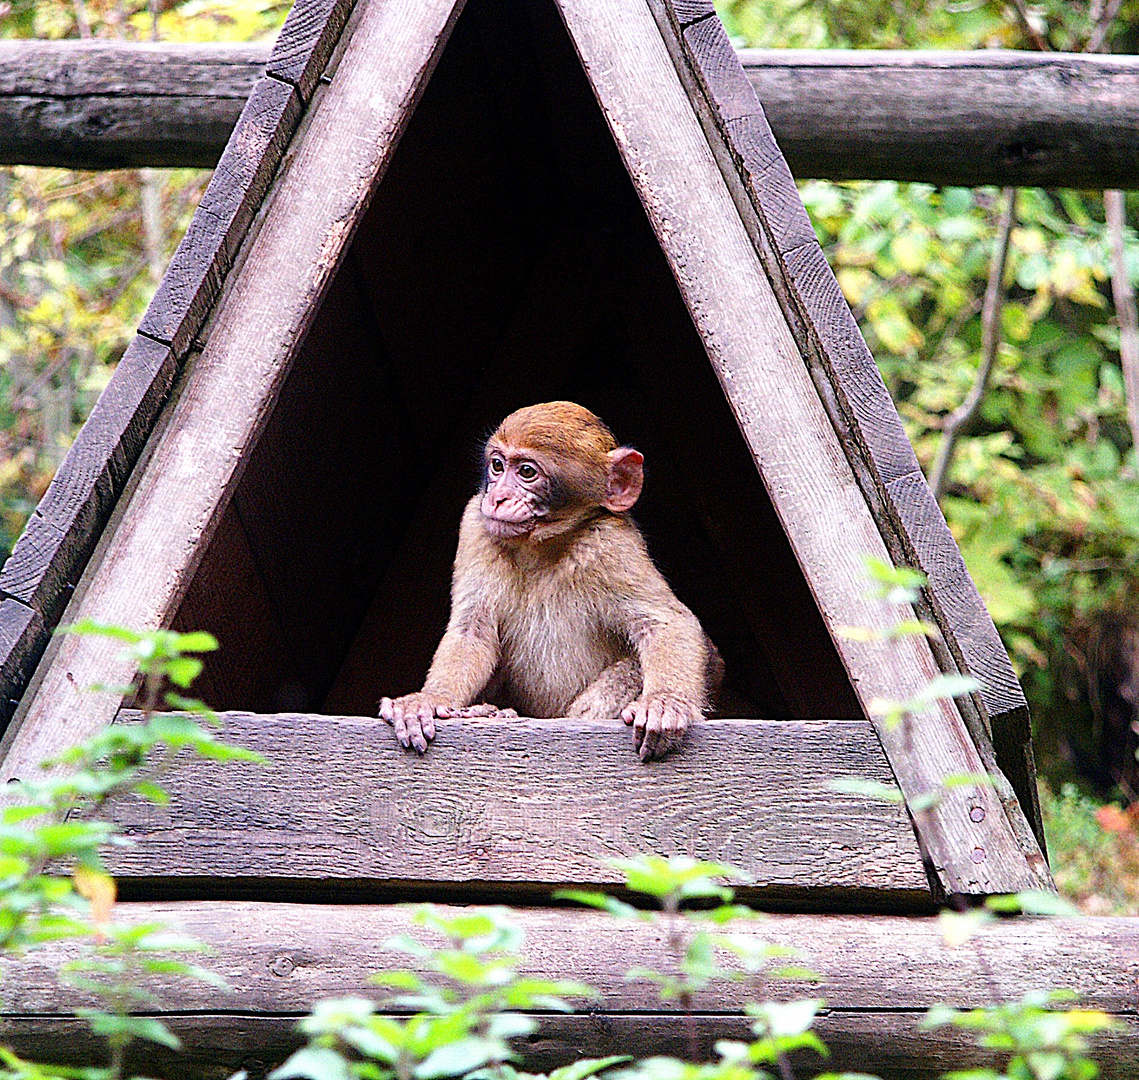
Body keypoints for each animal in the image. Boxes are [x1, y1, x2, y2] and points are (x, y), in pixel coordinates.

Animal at [380, 401, 719, 765]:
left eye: (527, 472)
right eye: (497, 465)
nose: (497, 498)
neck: (541, 547)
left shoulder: (611, 543)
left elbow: (666, 623)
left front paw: (665, 702)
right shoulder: (474, 524)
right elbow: (472, 630)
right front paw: (428, 699)